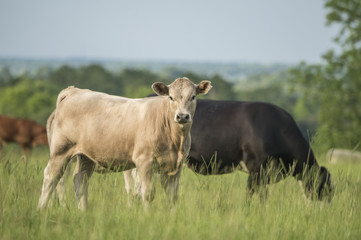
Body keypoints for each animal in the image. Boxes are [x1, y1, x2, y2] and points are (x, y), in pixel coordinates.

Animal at [37, 77, 211, 210]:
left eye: (193, 97)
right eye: (171, 97)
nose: (182, 116)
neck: (176, 139)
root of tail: (74, 91)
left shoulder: (176, 166)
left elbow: (172, 195)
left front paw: (172, 216)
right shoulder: (144, 161)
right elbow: (147, 193)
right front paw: (147, 216)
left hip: (86, 156)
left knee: (80, 180)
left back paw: (83, 211)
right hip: (61, 151)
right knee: (51, 178)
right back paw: (42, 210)